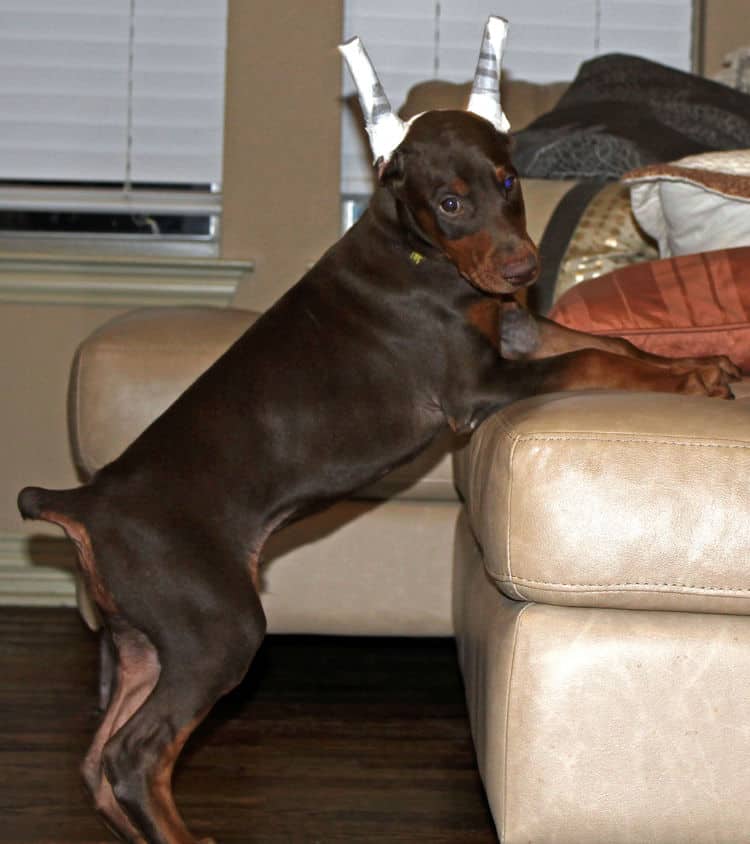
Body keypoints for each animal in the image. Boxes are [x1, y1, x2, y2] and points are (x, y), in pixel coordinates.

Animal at [14, 19, 736, 844]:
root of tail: (85, 502)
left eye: (508, 182)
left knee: (98, 760)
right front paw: (691, 378)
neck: (418, 250)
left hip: (146, 639)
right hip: (213, 625)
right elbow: (593, 358)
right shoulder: (478, 385)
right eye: (450, 201)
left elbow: (613, 343)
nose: (523, 268)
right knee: (135, 754)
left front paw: (702, 363)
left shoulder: (515, 330)